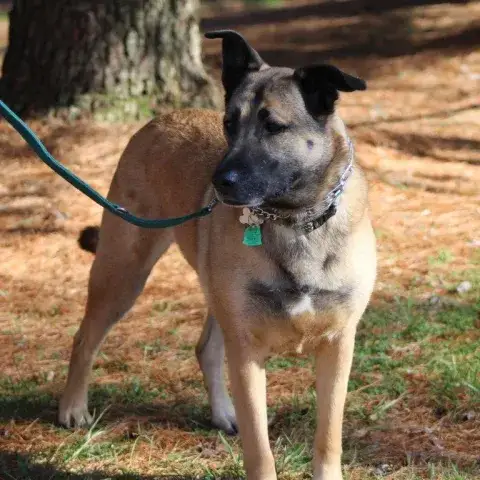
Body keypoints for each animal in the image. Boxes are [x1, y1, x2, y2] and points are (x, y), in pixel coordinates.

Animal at [58, 30, 376, 480]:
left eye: (273, 127)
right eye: (229, 124)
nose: (219, 182)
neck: (294, 222)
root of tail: (159, 120)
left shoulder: (338, 346)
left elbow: (328, 437)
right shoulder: (246, 352)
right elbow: (259, 450)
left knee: (205, 349)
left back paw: (223, 413)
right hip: (123, 273)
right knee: (85, 338)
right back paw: (72, 407)